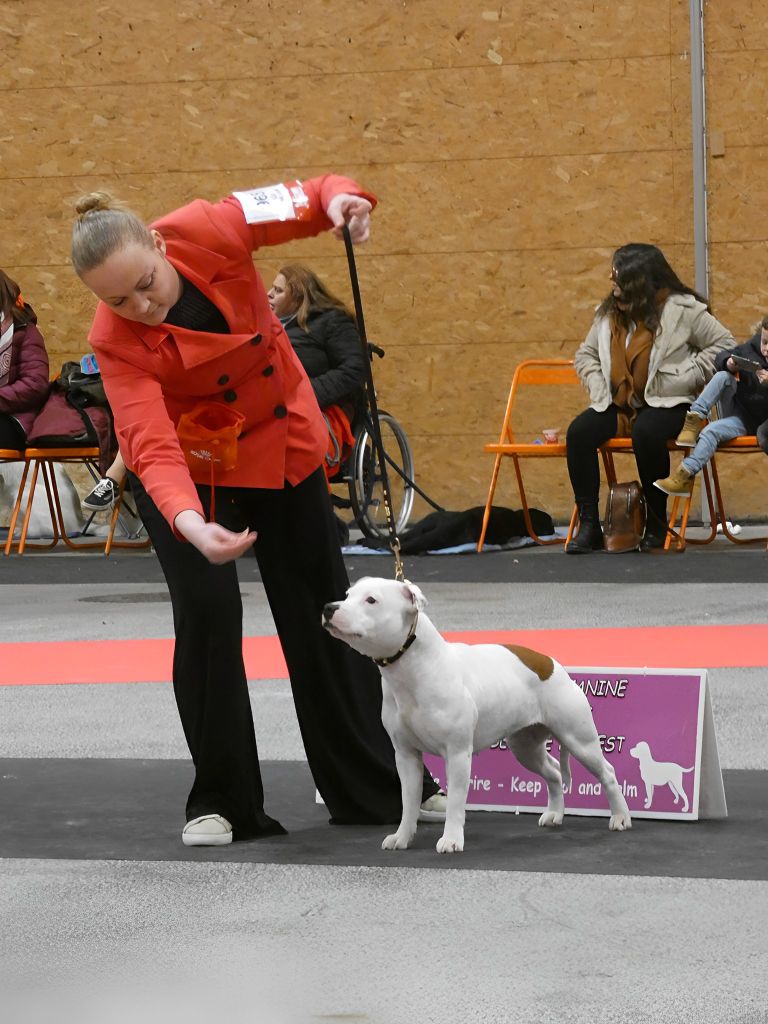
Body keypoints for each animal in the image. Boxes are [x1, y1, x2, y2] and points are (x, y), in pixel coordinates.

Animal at [323, 581, 630, 851]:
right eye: (347, 595)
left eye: (371, 600)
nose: (329, 607)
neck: (412, 668)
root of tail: (550, 662)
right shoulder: (406, 755)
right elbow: (408, 802)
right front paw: (402, 837)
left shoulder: (457, 753)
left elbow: (456, 803)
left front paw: (451, 840)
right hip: (525, 747)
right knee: (553, 771)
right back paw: (555, 813)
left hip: (579, 740)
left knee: (608, 773)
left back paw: (620, 817)